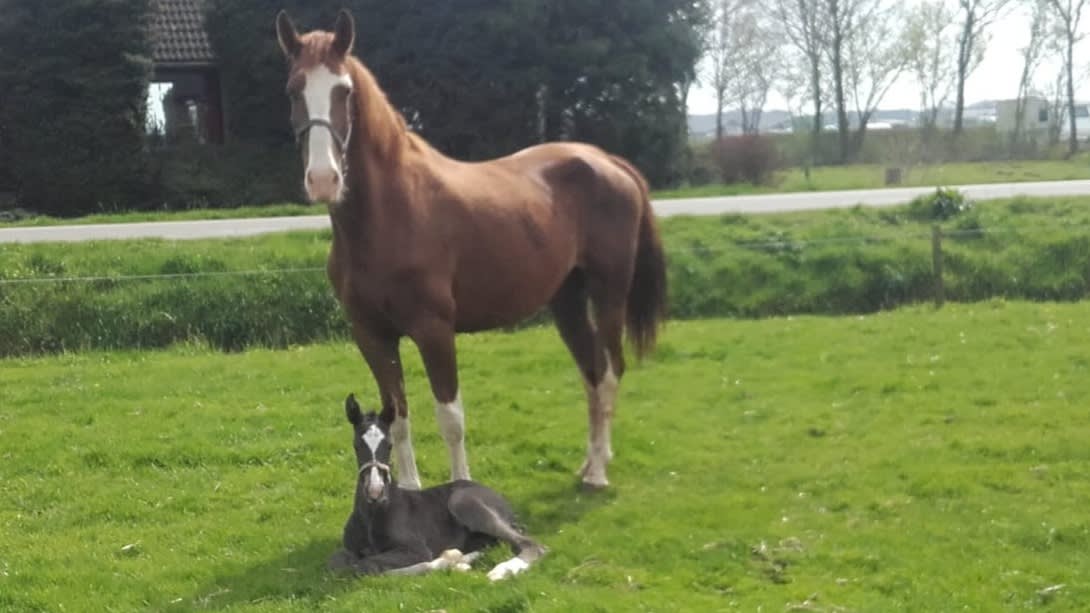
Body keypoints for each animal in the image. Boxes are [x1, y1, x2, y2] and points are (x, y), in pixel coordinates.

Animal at [272, 8, 662, 486]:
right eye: (294, 90)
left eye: (343, 90)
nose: (324, 179)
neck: (387, 217)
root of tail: (608, 162)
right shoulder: (372, 336)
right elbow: (397, 419)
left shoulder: (434, 330)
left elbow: (450, 419)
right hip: (567, 300)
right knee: (590, 372)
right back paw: (589, 461)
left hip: (609, 293)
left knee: (608, 372)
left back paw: (598, 473)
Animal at [322, 392, 545, 580]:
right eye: (356, 445)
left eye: (389, 445)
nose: (375, 492)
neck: (372, 514)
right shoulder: (348, 550)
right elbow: (337, 564)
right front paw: (455, 559)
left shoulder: (415, 549)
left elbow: (367, 565)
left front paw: (444, 561)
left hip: (463, 502)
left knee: (531, 544)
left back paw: (501, 571)